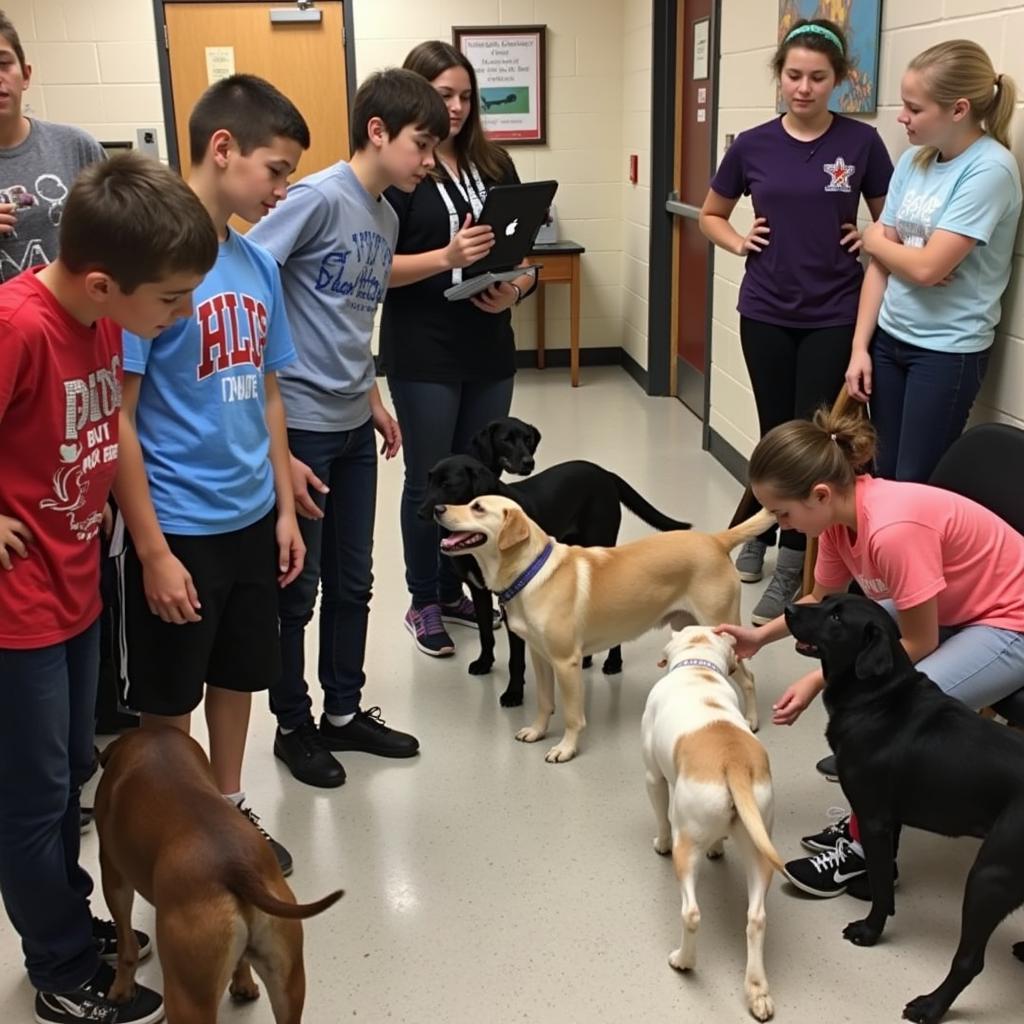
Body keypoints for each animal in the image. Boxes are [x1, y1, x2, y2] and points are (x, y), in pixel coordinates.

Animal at [93, 733, 339, 1019]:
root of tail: (234, 867)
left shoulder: (113, 876)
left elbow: (126, 943)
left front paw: (121, 989)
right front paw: (244, 983)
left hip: (186, 997)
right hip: (288, 984)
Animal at [419, 438, 692, 704]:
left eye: (448, 484)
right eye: (429, 479)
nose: (421, 512)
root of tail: (604, 472)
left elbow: (516, 657)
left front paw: (514, 693)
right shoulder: (479, 591)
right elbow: (486, 633)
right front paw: (485, 663)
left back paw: (613, 662)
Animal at [434, 491, 774, 765]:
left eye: (478, 507)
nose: (437, 508)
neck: (530, 573)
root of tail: (716, 539)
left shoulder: (566, 663)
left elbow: (573, 716)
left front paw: (566, 749)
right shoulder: (540, 656)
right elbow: (545, 702)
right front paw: (537, 731)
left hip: (721, 627)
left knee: (749, 678)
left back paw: (751, 720)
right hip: (690, 627)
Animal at [638, 626, 782, 1019]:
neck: (698, 665)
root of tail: (733, 762)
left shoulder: (653, 777)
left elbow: (659, 813)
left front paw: (659, 843)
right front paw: (718, 848)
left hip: (687, 848)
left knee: (691, 913)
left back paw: (683, 960)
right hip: (759, 849)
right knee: (756, 919)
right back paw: (757, 992)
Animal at [782, 593, 1024, 1024]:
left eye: (837, 618)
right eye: (826, 601)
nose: (789, 610)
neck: (878, 696)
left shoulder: (874, 817)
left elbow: (881, 883)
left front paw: (869, 931)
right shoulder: (887, 818)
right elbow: (883, 873)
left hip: (990, 877)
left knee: (969, 961)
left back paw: (930, 1006)